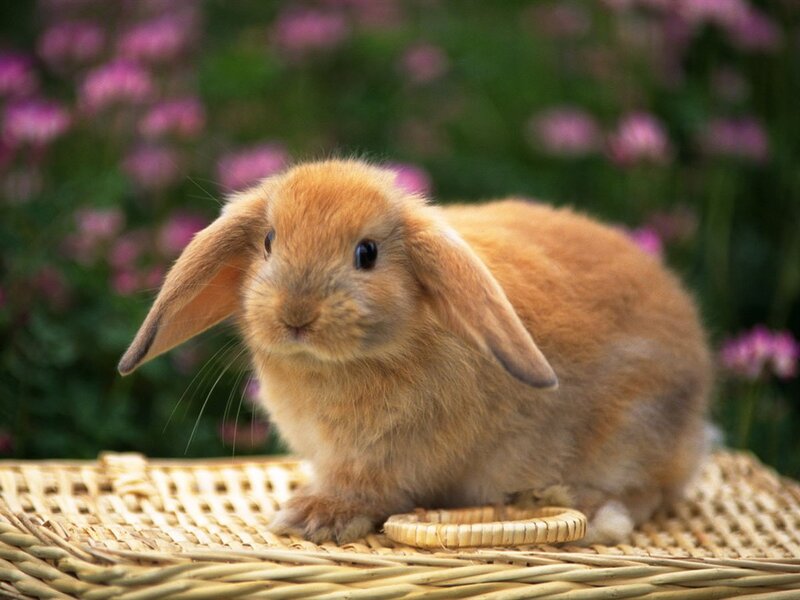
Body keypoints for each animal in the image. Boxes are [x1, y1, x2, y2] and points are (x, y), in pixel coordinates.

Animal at [119, 158, 712, 545]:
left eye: (367, 253)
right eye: (268, 243)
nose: (296, 315)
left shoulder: (389, 464)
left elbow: (373, 493)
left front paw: (314, 517)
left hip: (630, 434)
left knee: (651, 494)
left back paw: (589, 509)